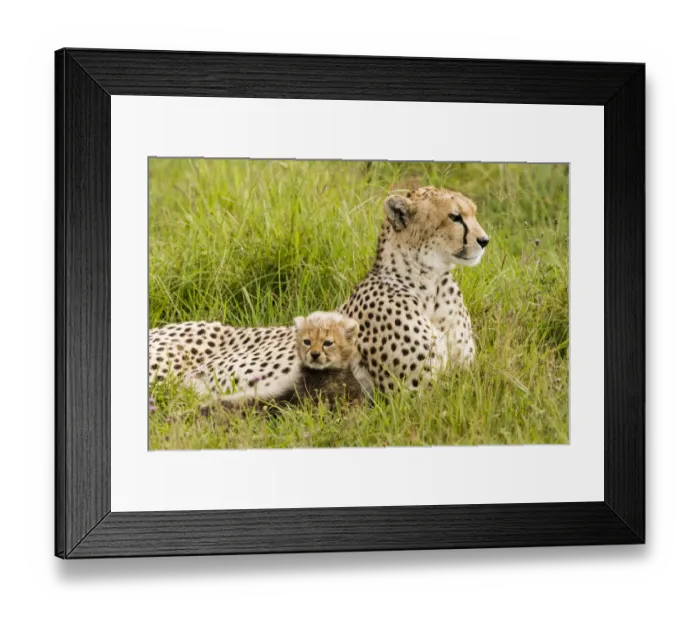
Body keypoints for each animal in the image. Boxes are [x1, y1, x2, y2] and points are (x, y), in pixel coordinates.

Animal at [148, 185, 489, 400]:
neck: (431, 284)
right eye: (455, 217)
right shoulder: (413, 394)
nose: (485, 240)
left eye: (474, 213)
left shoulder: (462, 376)